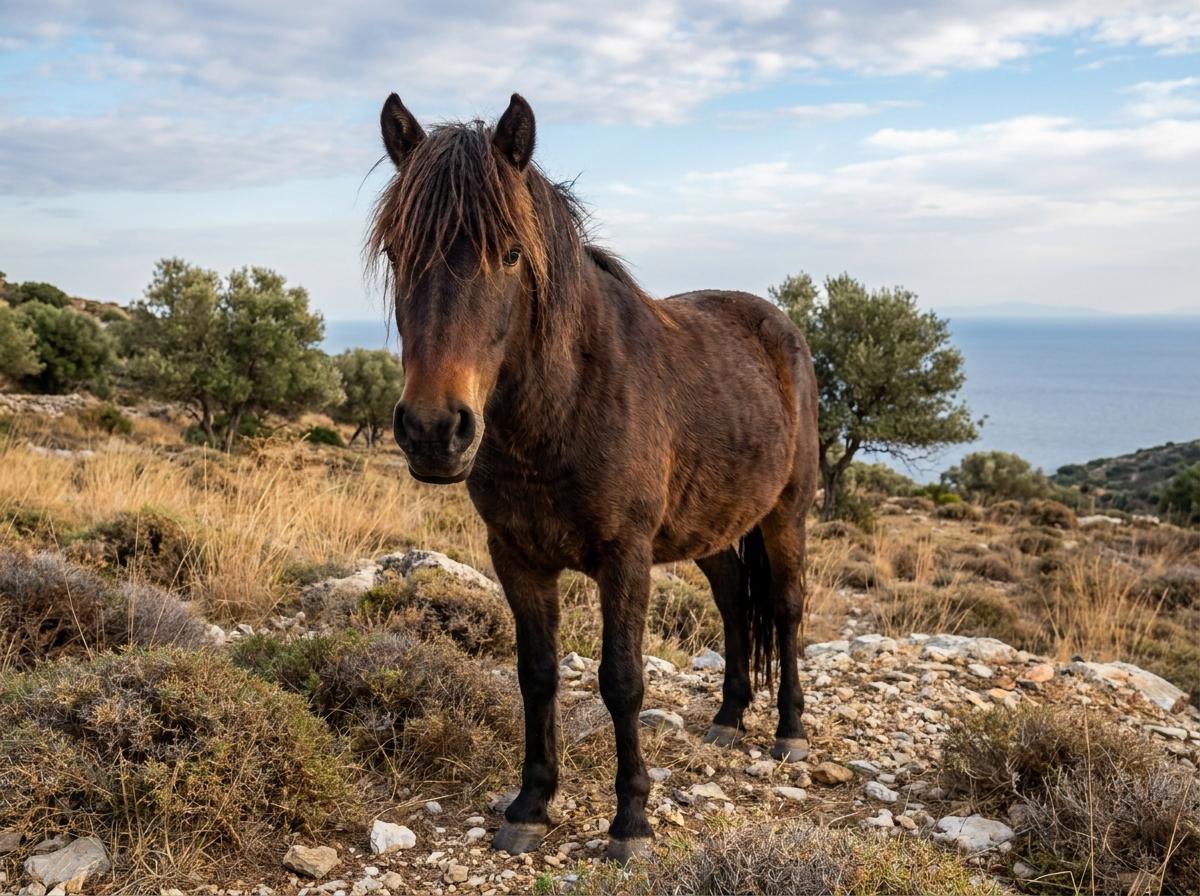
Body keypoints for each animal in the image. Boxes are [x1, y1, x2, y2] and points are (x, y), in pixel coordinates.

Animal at [367, 92, 819, 862]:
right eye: (399, 252)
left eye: (511, 253)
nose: (432, 430)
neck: (564, 407)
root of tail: (779, 326)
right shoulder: (516, 557)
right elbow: (537, 675)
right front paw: (530, 805)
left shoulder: (624, 557)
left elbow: (622, 681)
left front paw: (630, 821)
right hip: (710, 529)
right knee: (734, 602)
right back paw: (729, 718)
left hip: (786, 512)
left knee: (785, 609)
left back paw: (789, 731)